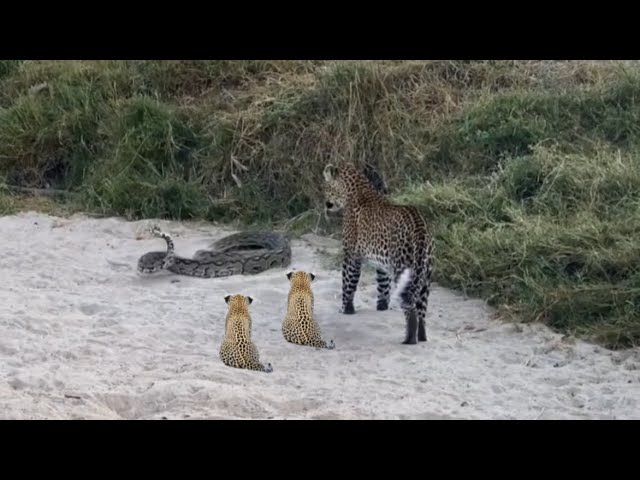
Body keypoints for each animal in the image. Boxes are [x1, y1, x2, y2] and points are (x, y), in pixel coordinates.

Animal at [322, 162, 434, 345]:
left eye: (326, 187)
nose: (326, 203)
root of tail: (420, 228)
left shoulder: (351, 256)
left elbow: (347, 283)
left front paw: (346, 308)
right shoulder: (382, 262)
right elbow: (383, 283)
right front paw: (382, 305)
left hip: (403, 269)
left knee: (410, 309)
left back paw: (409, 339)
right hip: (426, 274)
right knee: (422, 311)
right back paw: (422, 336)